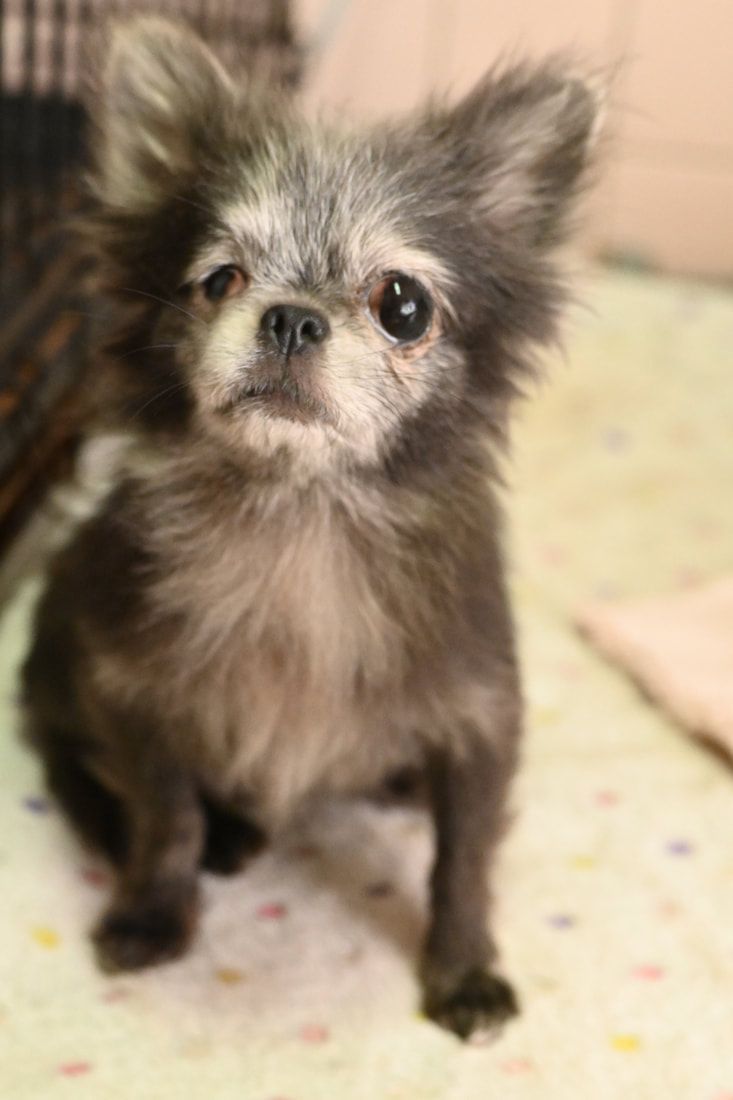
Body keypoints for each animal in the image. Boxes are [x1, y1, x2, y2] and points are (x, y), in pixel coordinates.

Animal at [22, 21, 598, 1042]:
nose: (290, 318)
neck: (299, 511)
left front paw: (463, 970)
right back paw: (228, 834)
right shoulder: (133, 699)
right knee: (80, 775)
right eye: (219, 280)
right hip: (55, 670)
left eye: (402, 305)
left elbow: (464, 861)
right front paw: (154, 912)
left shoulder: (481, 720)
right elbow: (162, 817)